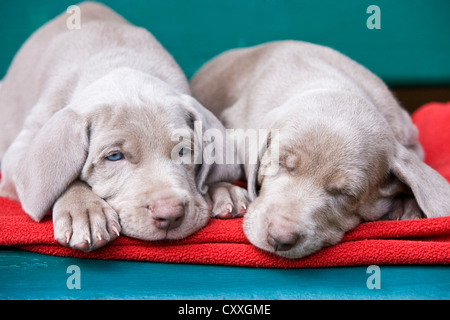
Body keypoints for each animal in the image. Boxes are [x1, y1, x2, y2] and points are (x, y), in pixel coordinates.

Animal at [0, 3, 246, 252]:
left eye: (183, 151)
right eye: (114, 156)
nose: (169, 215)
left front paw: (222, 188)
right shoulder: (20, 148)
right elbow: (64, 178)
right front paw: (84, 210)